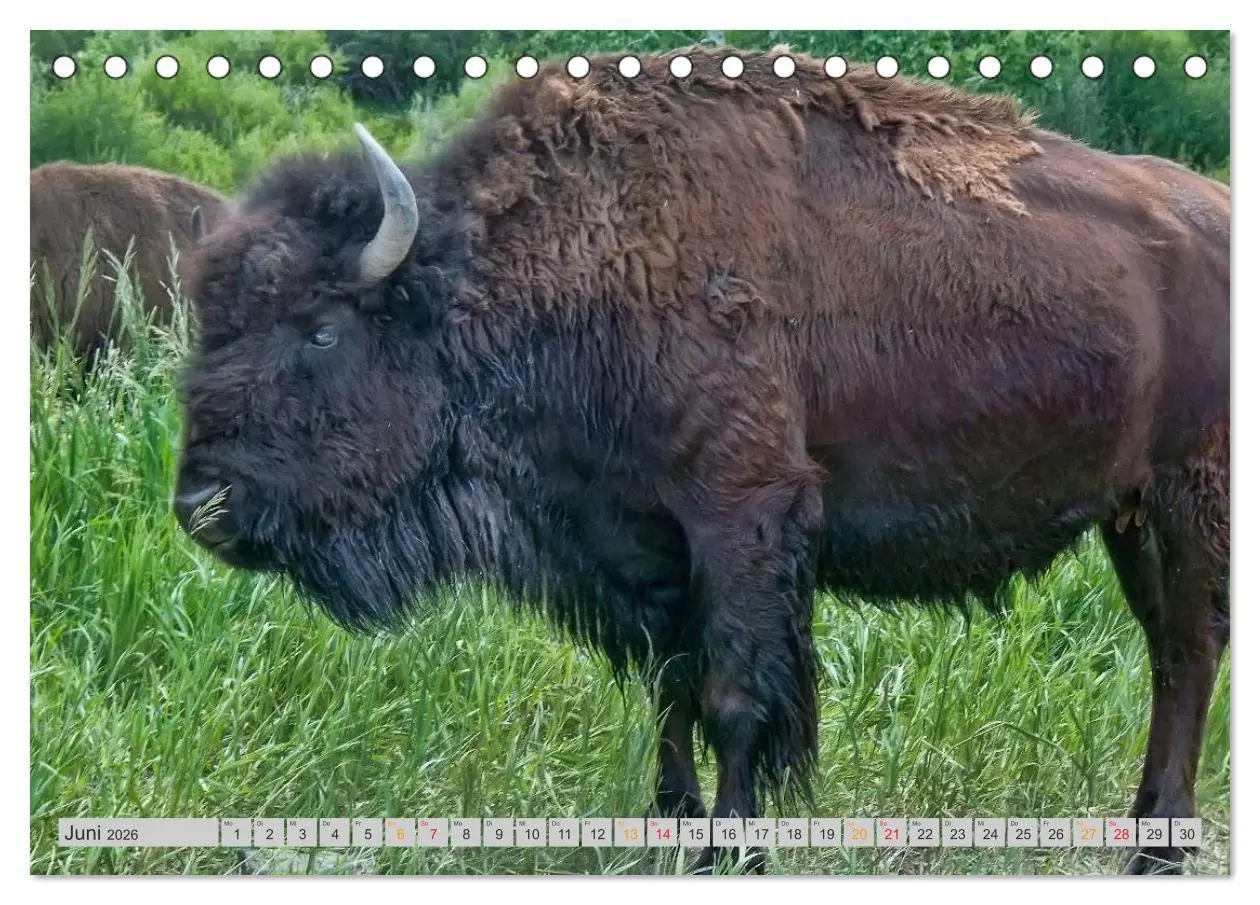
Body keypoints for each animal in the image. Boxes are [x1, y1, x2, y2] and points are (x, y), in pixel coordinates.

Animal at [173, 49, 1229, 874]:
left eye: (319, 330)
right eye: (213, 321)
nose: (201, 505)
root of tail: (1212, 210)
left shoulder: (739, 515)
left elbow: (732, 694)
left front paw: (732, 847)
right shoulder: (646, 542)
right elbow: (671, 686)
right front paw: (671, 826)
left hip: (1190, 495)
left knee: (1190, 646)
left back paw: (1158, 847)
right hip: (1129, 511)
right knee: (1168, 650)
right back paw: (1143, 830)